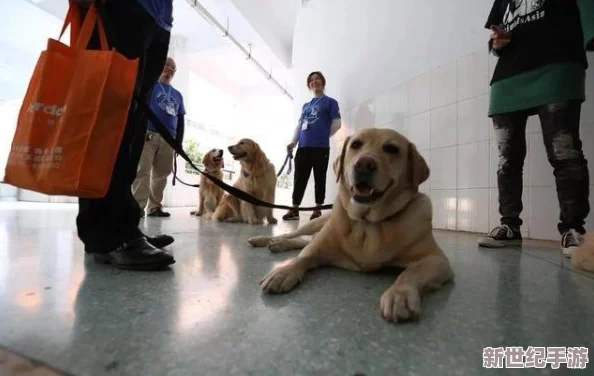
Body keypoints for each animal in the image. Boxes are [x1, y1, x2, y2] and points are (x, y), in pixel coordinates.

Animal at [247, 129, 450, 324]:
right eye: (356, 145)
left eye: (392, 149)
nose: (364, 164)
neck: (368, 222)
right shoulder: (318, 247)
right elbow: (302, 257)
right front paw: (283, 271)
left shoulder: (437, 259)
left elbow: (410, 273)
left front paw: (400, 294)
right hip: (317, 222)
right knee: (294, 235)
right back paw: (267, 240)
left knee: (301, 241)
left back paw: (277, 244)